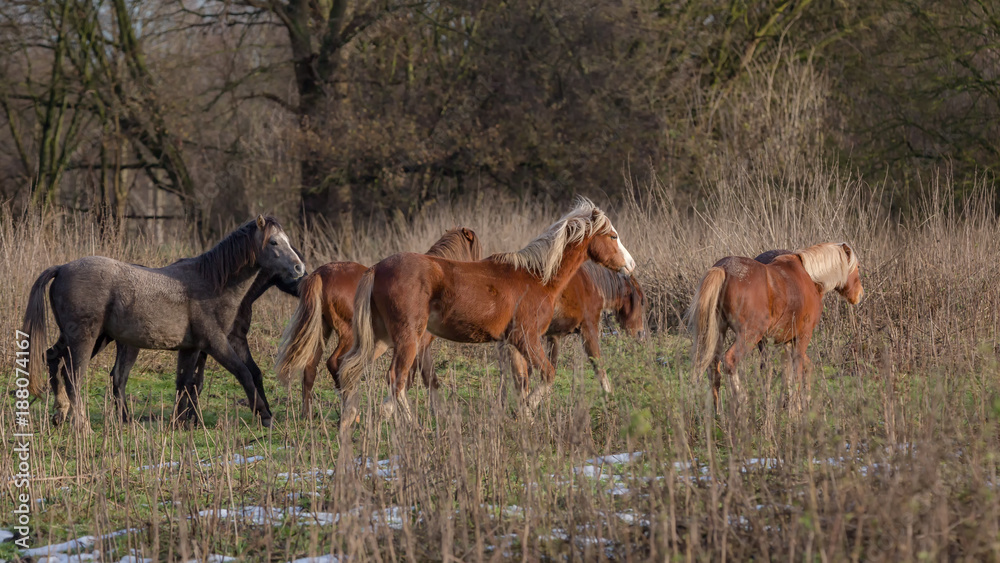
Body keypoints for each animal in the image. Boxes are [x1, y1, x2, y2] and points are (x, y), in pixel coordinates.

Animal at [21, 215, 305, 428]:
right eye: (274, 242)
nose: (300, 269)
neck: (211, 283)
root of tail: (62, 268)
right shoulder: (217, 343)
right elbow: (244, 373)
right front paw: (265, 415)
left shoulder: (192, 348)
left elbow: (185, 383)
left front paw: (180, 422)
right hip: (85, 339)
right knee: (74, 376)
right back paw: (82, 424)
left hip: (82, 338)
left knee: (54, 359)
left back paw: (62, 413)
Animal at [275, 227, 483, 416]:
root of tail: (321, 274)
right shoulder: (419, 345)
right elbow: (416, 378)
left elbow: (423, 379)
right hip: (350, 336)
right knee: (337, 363)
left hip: (322, 331)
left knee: (310, 368)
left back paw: (308, 415)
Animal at [537, 261, 646, 394]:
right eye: (641, 301)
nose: (641, 333)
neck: (592, 285)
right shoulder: (589, 330)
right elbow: (599, 366)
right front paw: (609, 395)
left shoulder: (554, 336)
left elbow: (550, 371)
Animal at [687, 242, 863, 413]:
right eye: (857, 267)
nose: (859, 294)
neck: (811, 278)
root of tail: (723, 269)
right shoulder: (803, 337)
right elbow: (797, 371)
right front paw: (797, 407)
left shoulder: (783, 341)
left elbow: (785, 373)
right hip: (749, 335)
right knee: (730, 361)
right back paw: (741, 401)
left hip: (719, 333)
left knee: (713, 368)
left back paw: (718, 413)